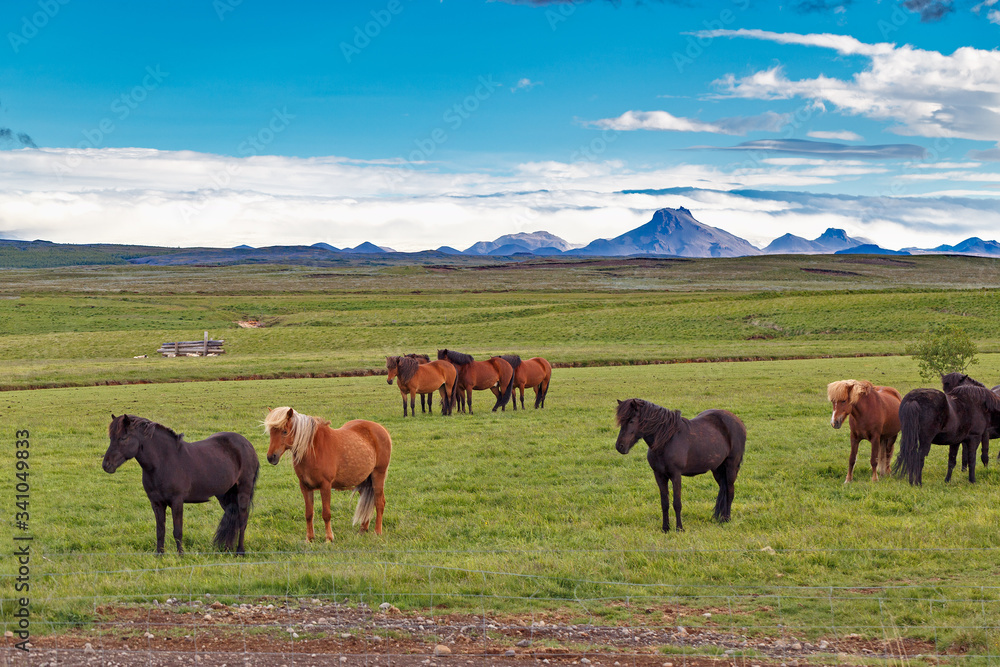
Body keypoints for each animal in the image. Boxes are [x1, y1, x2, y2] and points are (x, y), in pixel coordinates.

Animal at [100, 414, 258, 556]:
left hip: (243, 490)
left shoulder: (177, 502)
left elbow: (177, 531)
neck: (163, 462)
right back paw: (227, 549)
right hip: (225, 495)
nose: (106, 465)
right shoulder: (156, 503)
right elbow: (160, 531)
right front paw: (159, 556)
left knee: (242, 520)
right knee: (233, 518)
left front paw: (181, 555)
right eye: (111, 438)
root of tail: (248, 445)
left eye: (123, 438)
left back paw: (240, 552)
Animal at [264, 408, 392, 544]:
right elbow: (309, 514)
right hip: (363, 479)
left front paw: (329, 539)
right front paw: (309, 538)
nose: (271, 457)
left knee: (379, 502)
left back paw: (377, 532)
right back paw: (363, 529)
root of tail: (382, 429)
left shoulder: (325, 486)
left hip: (378, 475)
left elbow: (326, 514)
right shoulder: (305, 487)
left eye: (284, 431)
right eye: (271, 432)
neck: (313, 449)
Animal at [612, 396, 748, 532]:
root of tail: (738, 421)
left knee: (730, 492)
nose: (620, 446)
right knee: (723, 489)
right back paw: (720, 518)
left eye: (631, 421)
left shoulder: (676, 475)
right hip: (717, 469)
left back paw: (726, 519)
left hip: (731, 467)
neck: (666, 440)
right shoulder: (659, 475)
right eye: (621, 421)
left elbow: (677, 503)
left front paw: (679, 528)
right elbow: (664, 503)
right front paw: (665, 528)